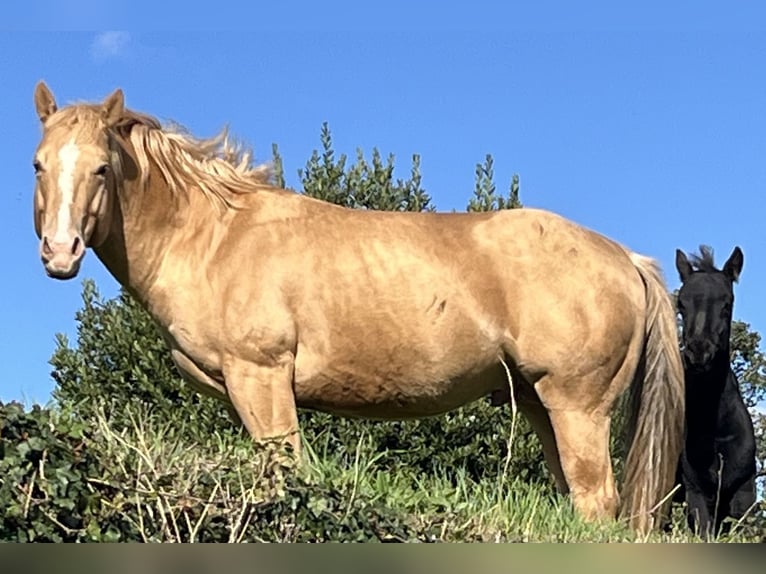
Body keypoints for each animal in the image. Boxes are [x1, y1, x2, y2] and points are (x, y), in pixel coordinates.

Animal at [31, 82, 684, 536]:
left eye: (102, 167)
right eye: (38, 163)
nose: (61, 252)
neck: (217, 236)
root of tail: (626, 258)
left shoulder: (262, 378)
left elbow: (285, 474)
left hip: (578, 407)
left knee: (598, 503)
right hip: (542, 406)